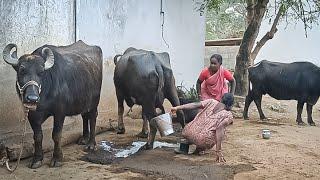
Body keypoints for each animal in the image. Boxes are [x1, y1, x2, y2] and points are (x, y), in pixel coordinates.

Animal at [2, 40, 102, 169]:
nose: (32, 98)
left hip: (94, 101)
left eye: (41, 72)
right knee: (85, 116)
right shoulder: (32, 114)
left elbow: (56, 135)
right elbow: (37, 136)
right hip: (83, 101)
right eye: (21, 70)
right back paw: (84, 139)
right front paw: (37, 159)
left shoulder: (60, 112)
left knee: (93, 117)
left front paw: (57, 159)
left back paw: (91, 144)